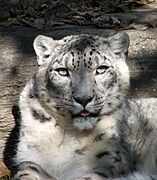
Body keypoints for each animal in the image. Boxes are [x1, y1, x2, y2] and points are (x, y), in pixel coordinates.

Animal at [11, 32, 157, 180]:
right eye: (62, 71)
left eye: (101, 69)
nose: (83, 99)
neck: (67, 133)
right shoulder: (29, 153)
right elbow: (27, 166)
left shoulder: (111, 159)